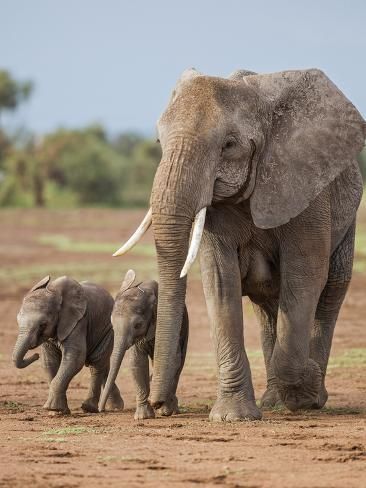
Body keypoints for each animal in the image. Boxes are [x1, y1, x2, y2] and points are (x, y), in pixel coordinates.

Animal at [12, 276, 123, 414]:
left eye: (43, 324)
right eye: (17, 321)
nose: (36, 355)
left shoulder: (79, 321)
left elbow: (75, 358)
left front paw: (53, 408)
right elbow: (50, 362)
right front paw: (59, 411)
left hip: (108, 330)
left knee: (96, 363)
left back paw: (89, 408)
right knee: (103, 365)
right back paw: (115, 407)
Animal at [99, 268, 189, 422]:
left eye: (138, 325)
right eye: (112, 323)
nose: (101, 410)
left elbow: (174, 359)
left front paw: (161, 410)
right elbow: (137, 362)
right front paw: (143, 417)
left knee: (180, 363)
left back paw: (170, 410)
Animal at [114, 67, 366, 420]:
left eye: (229, 145)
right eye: (159, 142)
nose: (159, 405)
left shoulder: (306, 191)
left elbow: (305, 278)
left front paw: (307, 386)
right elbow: (221, 283)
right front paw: (234, 416)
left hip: (347, 219)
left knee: (329, 294)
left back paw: (312, 396)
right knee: (268, 307)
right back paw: (275, 401)